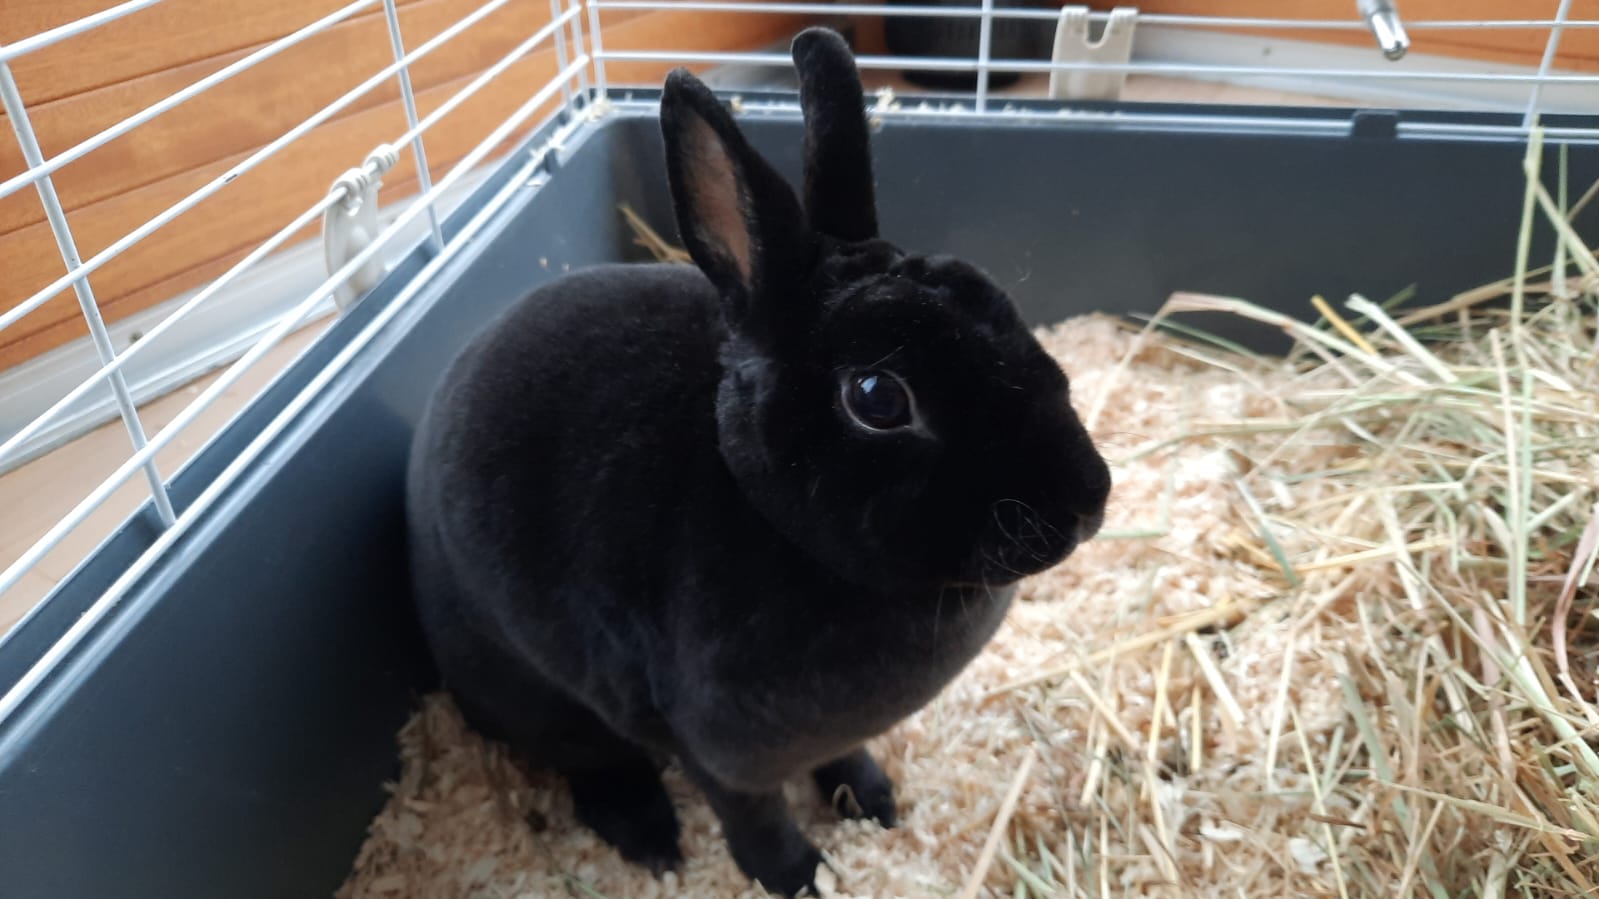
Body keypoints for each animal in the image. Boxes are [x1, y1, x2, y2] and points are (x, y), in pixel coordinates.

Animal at [405, 26, 1111, 898]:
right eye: (878, 397)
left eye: (1003, 310)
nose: (1087, 499)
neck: (773, 516)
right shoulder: (723, 752)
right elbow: (755, 817)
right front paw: (799, 876)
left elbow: (845, 759)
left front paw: (874, 804)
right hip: (534, 694)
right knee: (589, 761)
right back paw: (648, 837)